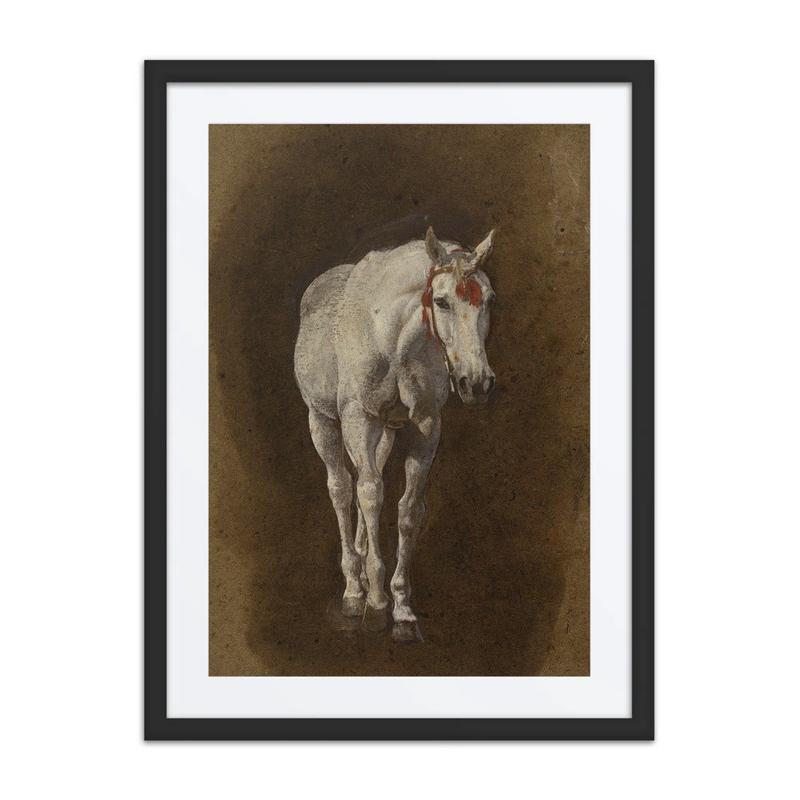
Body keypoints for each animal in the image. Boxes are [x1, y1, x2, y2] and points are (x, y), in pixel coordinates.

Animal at [293, 227, 497, 643]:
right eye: (442, 301)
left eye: (488, 299)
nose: (477, 383)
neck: (393, 338)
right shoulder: (358, 419)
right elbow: (370, 496)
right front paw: (374, 604)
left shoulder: (425, 425)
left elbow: (407, 509)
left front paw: (402, 610)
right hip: (322, 421)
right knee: (342, 488)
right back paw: (354, 590)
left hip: (385, 432)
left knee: (365, 482)